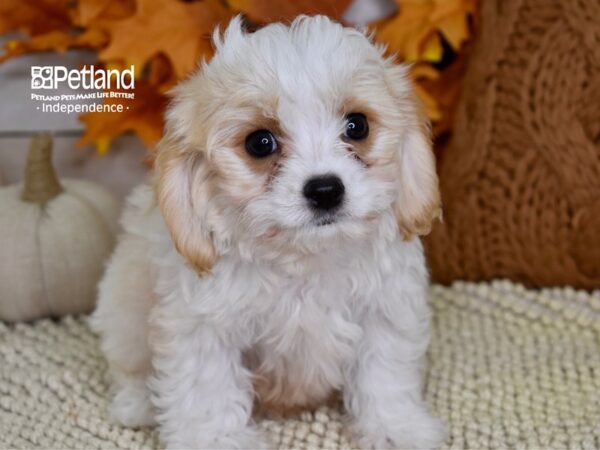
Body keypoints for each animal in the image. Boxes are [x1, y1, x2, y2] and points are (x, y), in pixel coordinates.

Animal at [90, 14, 446, 450]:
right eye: (260, 143)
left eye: (357, 126)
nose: (325, 190)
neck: (303, 258)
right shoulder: (203, 327)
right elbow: (207, 392)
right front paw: (218, 441)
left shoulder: (384, 310)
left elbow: (384, 375)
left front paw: (397, 428)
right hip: (123, 310)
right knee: (130, 367)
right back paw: (138, 403)